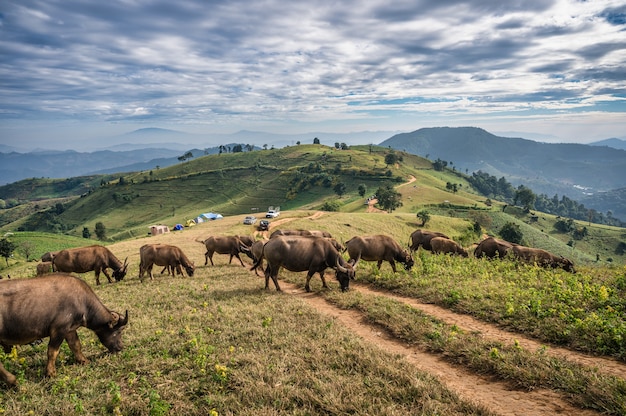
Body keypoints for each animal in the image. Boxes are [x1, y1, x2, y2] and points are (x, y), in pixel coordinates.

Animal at [0, 272, 128, 386]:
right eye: (119, 331)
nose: (121, 347)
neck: (81, 301)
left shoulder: (69, 329)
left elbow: (75, 345)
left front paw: (84, 361)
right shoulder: (58, 330)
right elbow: (52, 352)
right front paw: (50, 373)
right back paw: (14, 381)